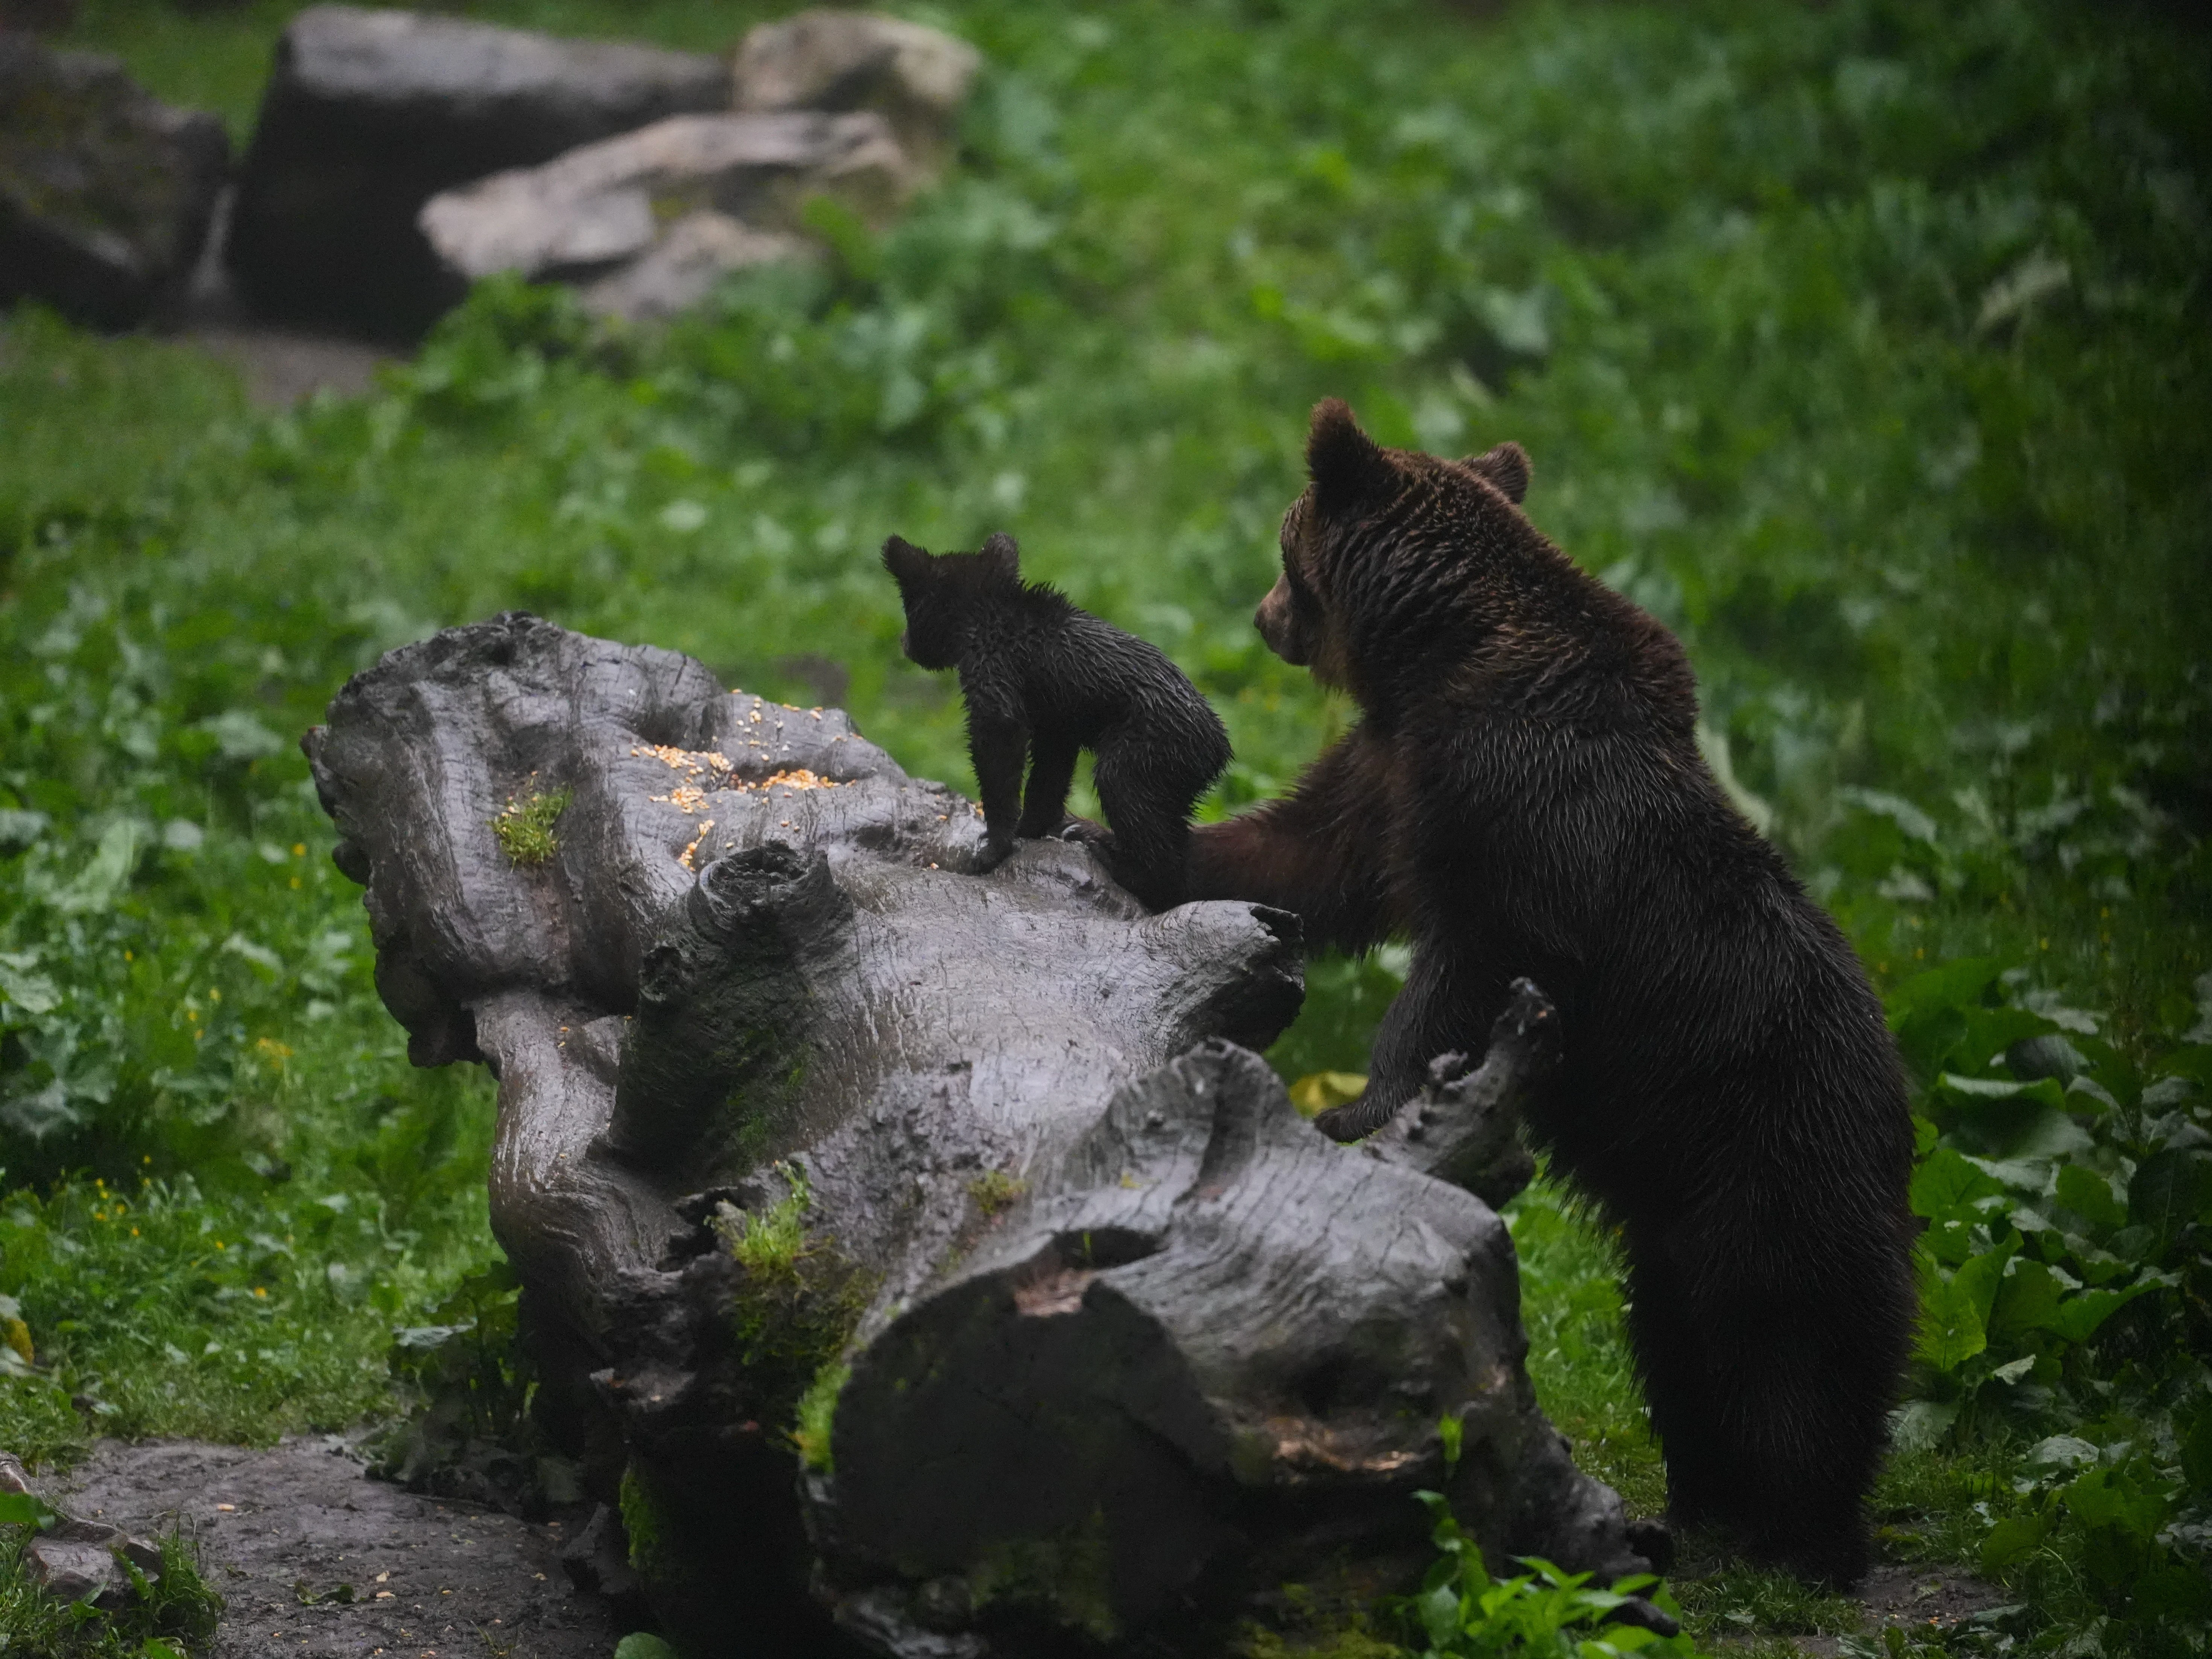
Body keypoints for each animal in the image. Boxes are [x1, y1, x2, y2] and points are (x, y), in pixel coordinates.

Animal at [883, 531, 1232, 910]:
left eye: (907, 604)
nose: (903, 642)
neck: (983, 615)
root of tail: (1219, 750)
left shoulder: (995, 680)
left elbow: (1000, 761)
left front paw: (993, 848)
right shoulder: (1057, 724)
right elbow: (1047, 780)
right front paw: (1031, 831)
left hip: (1140, 758)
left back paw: (1113, 859)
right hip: (1173, 787)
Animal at [1185, 400, 1916, 1584]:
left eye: (1283, 548)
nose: (1260, 617)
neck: (1438, 665)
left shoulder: (1516, 827)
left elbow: (1460, 971)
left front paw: (1361, 1104)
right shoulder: (1394, 774)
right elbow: (1304, 853)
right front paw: (1121, 832)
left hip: (1776, 1155)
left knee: (1784, 1346)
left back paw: (1803, 1526)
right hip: (1674, 1211)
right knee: (1676, 1341)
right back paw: (1703, 1498)